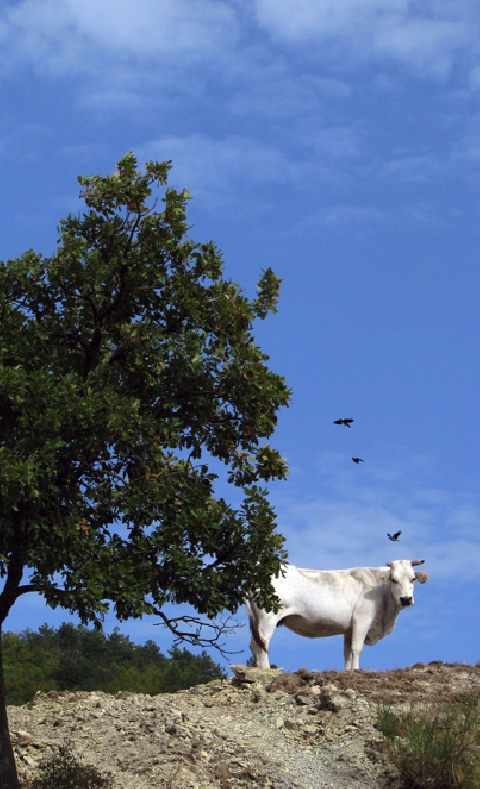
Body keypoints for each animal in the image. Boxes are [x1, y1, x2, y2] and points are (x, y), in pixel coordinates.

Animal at [246, 556, 430, 668]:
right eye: (393, 579)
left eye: (413, 579)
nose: (405, 599)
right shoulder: (362, 620)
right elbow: (357, 648)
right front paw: (357, 671)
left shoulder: (349, 629)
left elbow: (347, 653)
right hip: (268, 618)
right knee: (262, 644)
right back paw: (266, 669)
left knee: (254, 645)